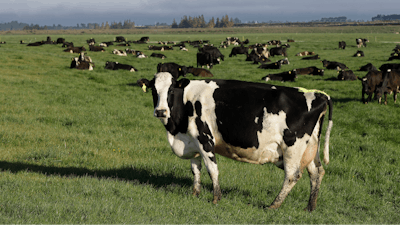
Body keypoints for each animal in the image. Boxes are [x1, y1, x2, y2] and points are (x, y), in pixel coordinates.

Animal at [138, 71, 334, 211]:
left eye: (171, 90)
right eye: (154, 90)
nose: (161, 111)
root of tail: (318, 94)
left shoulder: (204, 139)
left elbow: (212, 169)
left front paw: (216, 198)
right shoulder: (192, 141)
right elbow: (195, 170)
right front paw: (195, 194)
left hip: (293, 146)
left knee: (292, 175)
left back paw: (273, 205)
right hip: (310, 148)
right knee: (316, 173)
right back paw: (310, 207)